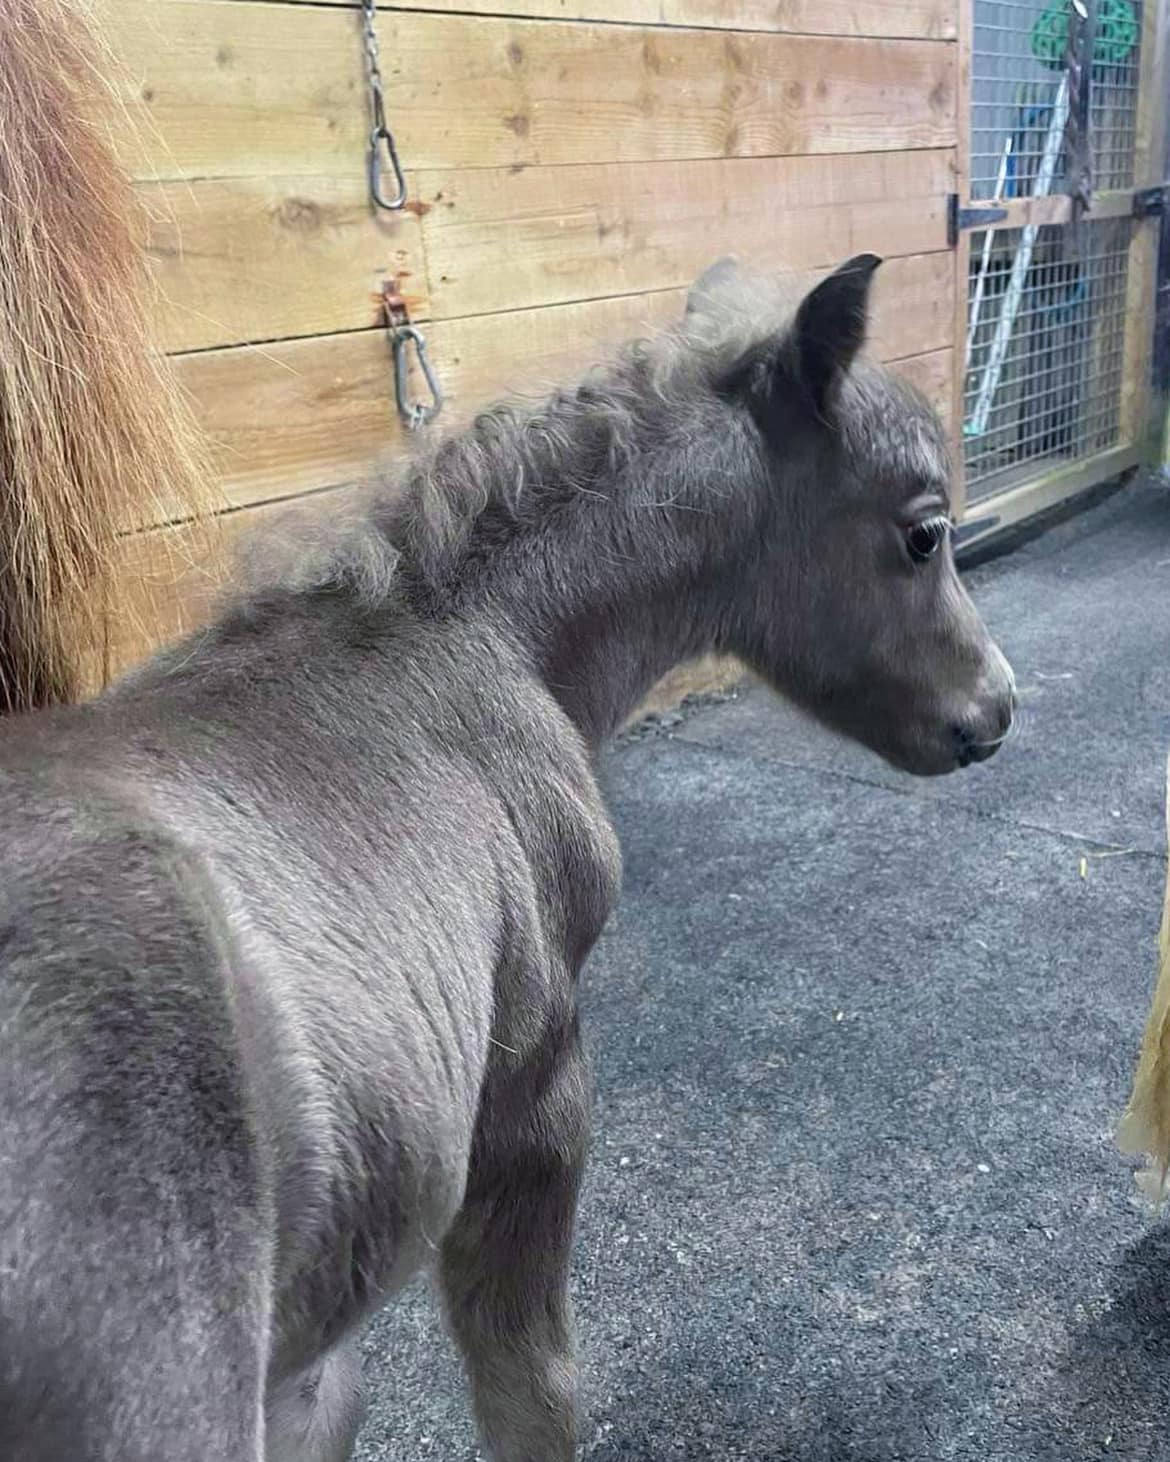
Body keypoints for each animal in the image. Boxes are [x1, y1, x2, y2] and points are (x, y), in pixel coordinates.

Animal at [0, 255, 1015, 1461]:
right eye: (925, 531)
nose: (997, 711)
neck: (486, 641)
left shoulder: (312, 1353)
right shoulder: (534, 1090)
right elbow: (531, 1384)